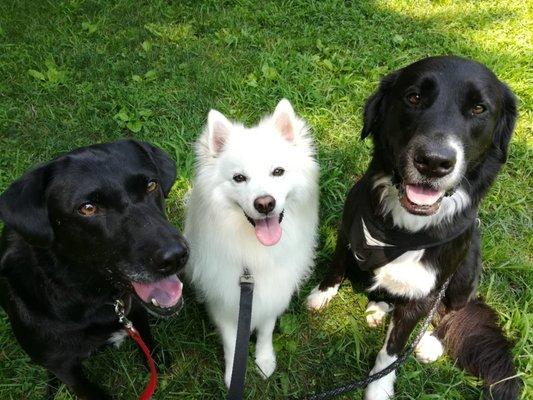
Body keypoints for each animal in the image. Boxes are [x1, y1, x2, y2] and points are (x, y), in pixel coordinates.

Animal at [0, 139, 189, 398]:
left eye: (151, 185)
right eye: (87, 208)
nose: (177, 257)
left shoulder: (135, 314)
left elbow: (149, 345)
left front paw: (162, 368)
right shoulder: (65, 368)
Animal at [185, 98, 318, 386]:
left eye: (278, 172)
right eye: (239, 178)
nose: (265, 203)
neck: (255, 252)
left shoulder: (270, 295)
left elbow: (266, 331)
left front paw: (264, 361)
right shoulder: (226, 304)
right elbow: (232, 343)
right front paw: (233, 375)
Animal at [308, 57, 520, 400]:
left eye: (479, 109)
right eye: (414, 97)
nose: (433, 162)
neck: (403, 228)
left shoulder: (426, 291)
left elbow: (393, 350)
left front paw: (378, 388)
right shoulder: (347, 235)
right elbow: (336, 267)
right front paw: (320, 295)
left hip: (466, 269)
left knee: (453, 309)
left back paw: (430, 341)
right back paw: (379, 308)